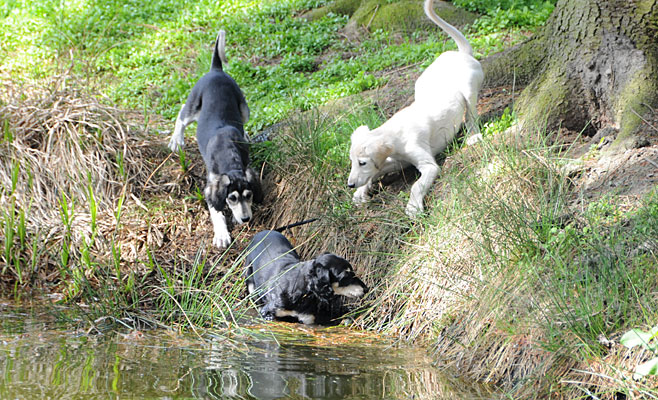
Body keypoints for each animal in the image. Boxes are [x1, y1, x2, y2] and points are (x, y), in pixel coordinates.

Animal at [167, 29, 262, 248]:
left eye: (248, 195)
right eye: (232, 198)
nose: (246, 219)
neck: (229, 155)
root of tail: (216, 70)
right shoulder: (211, 186)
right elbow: (216, 213)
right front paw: (221, 235)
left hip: (244, 110)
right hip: (194, 104)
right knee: (181, 115)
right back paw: (176, 140)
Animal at [348, 0, 482, 216]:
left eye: (362, 162)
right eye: (352, 162)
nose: (350, 184)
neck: (395, 134)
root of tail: (460, 54)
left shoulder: (429, 166)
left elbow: (416, 186)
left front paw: (413, 207)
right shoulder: (395, 161)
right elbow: (375, 172)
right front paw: (360, 192)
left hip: (469, 88)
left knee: (471, 115)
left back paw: (473, 135)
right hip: (420, 85)